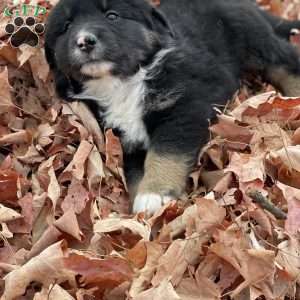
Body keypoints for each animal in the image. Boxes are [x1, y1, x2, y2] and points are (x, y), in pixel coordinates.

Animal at [44, 0, 300, 216]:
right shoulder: (126, 138)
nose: (84, 41)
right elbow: (134, 172)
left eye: (112, 16)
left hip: (253, 37)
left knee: (284, 60)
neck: (123, 83)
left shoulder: (183, 108)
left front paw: (154, 193)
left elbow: (166, 152)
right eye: (67, 26)